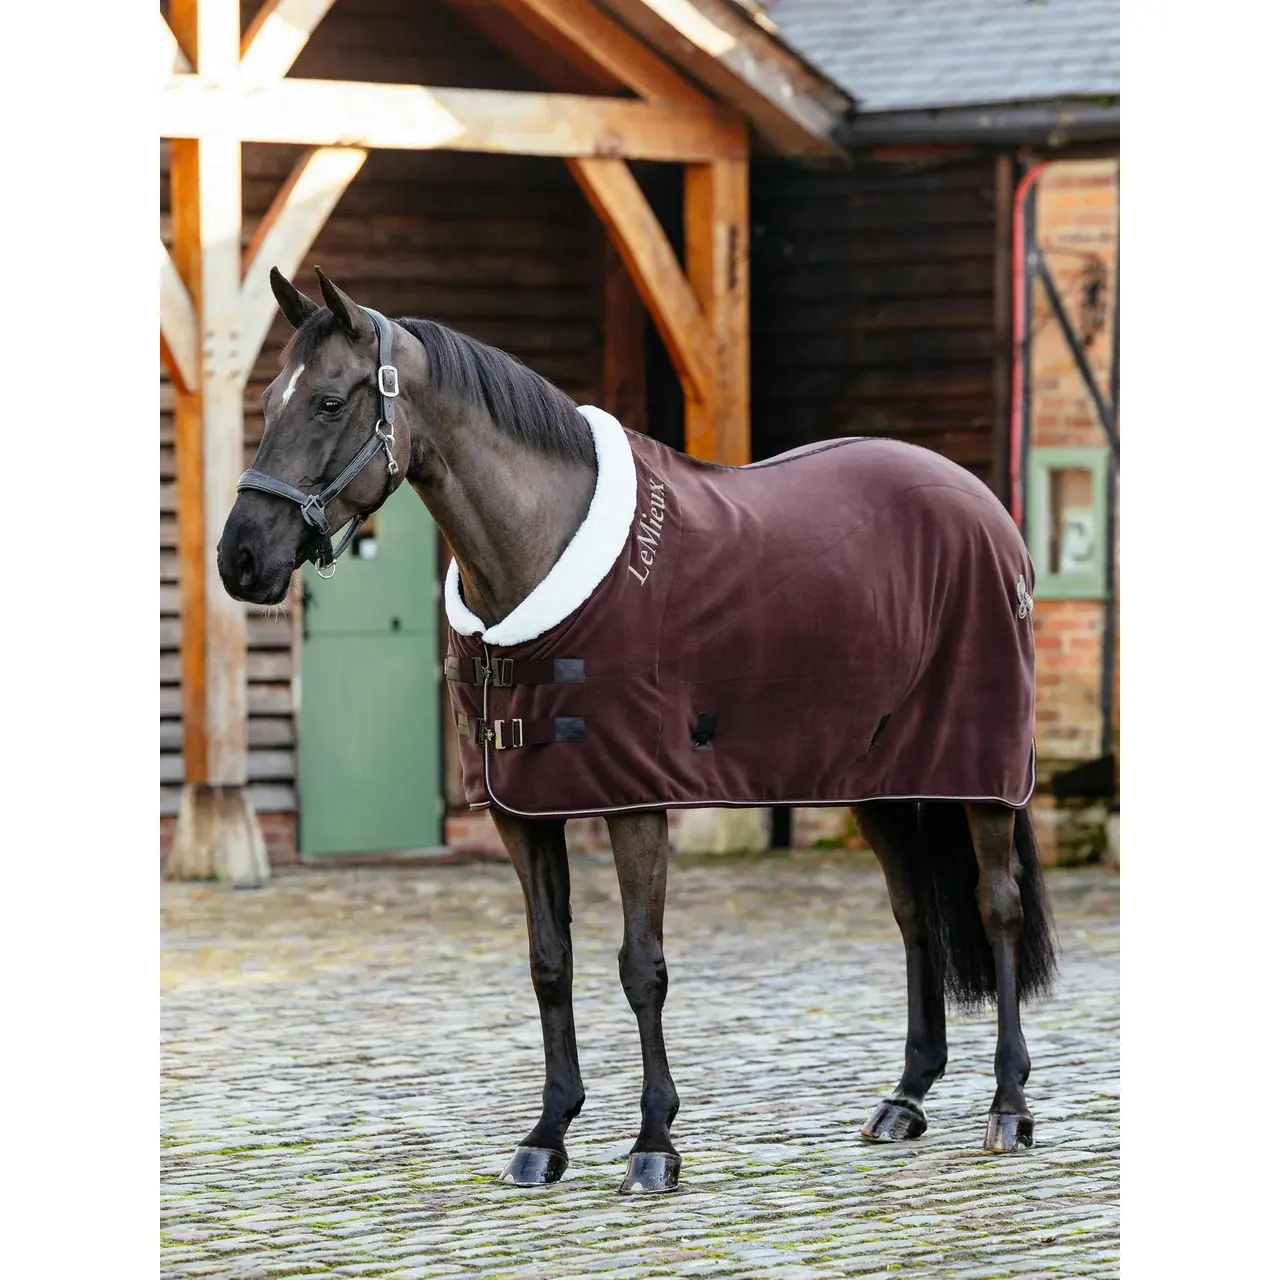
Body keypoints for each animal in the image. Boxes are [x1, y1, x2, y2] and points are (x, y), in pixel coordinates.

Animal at [218, 266, 1057, 1195]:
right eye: (269, 399)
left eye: (329, 402)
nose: (239, 558)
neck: (540, 561)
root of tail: (985, 508)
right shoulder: (521, 812)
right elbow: (550, 963)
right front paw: (546, 1136)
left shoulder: (635, 802)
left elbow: (640, 967)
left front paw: (654, 1144)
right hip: (878, 778)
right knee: (914, 915)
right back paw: (905, 1099)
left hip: (983, 773)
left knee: (997, 906)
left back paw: (1009, 1109)